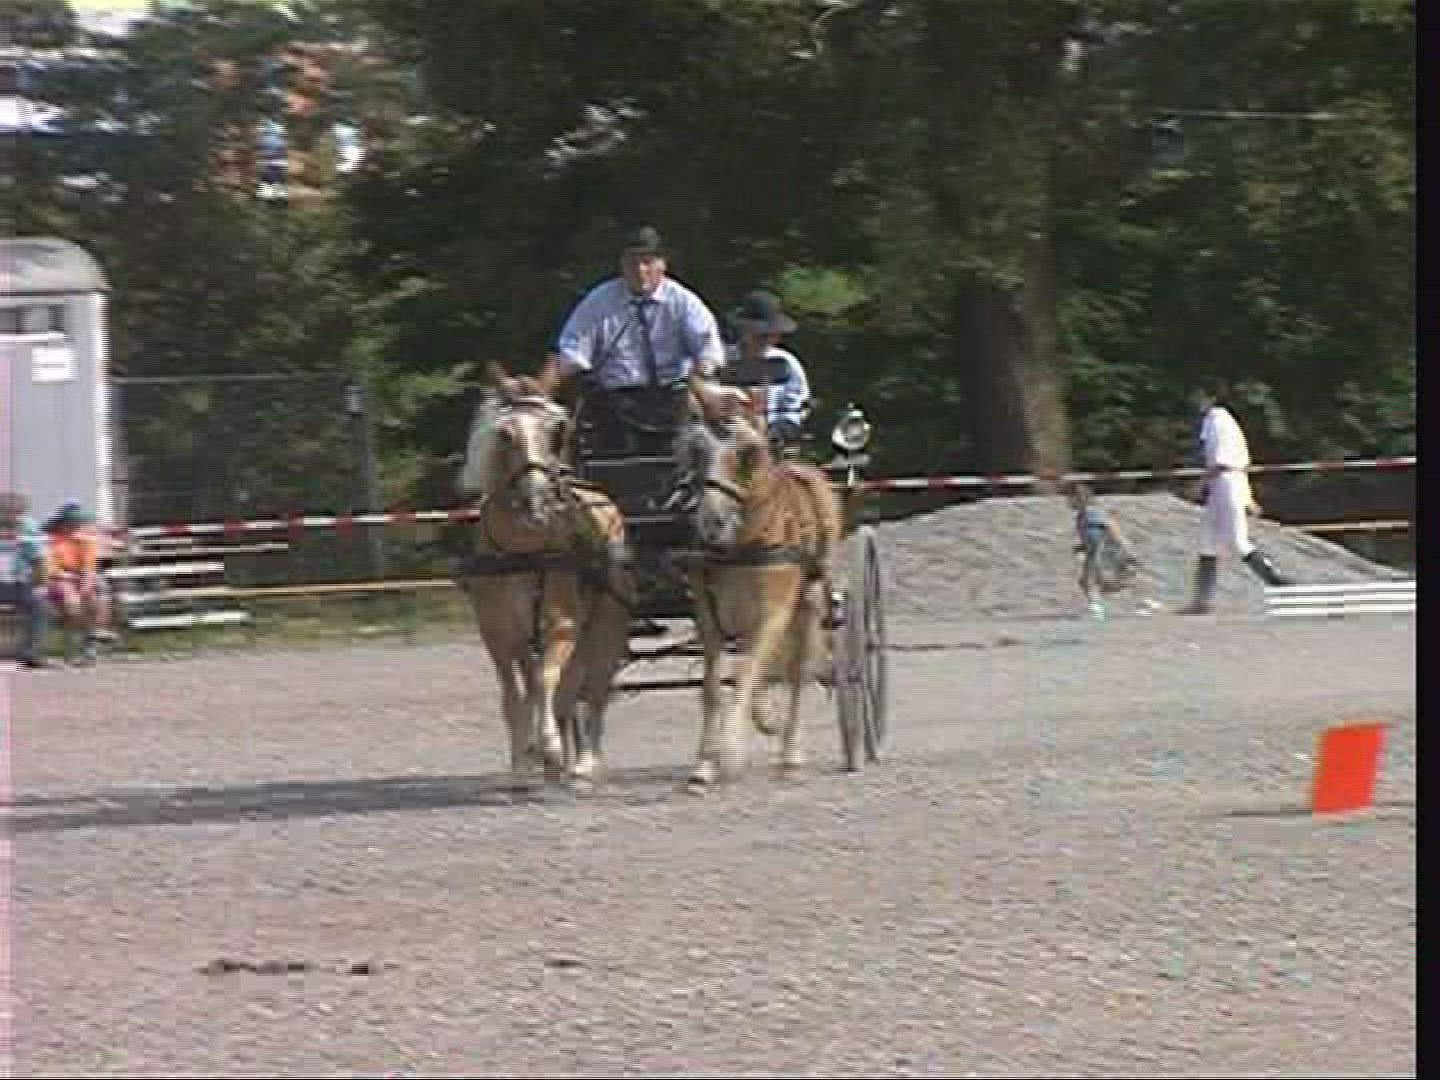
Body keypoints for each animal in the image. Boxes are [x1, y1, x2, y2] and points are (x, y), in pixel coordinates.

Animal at [453, 361, 634, 795]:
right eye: (504, 434)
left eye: (557, 430)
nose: (537, 504)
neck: (526, 549)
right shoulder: (498, 633)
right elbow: (515, 692)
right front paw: (524, 762)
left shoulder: (561, 624)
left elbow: (549, 680)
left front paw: (549, 748)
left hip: (608, 622)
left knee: (594, 690)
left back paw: (585, 765)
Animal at [673, 369, 844, 789]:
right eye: (695, 451)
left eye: (747, 453)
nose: (711, 523)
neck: (743, 543)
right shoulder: (708, 617)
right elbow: (714, 686)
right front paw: (704, 765)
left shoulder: (774, 614)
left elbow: (748, 672)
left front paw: (731, 750)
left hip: (808, 606)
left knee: (795, 674)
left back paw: (790, 754)